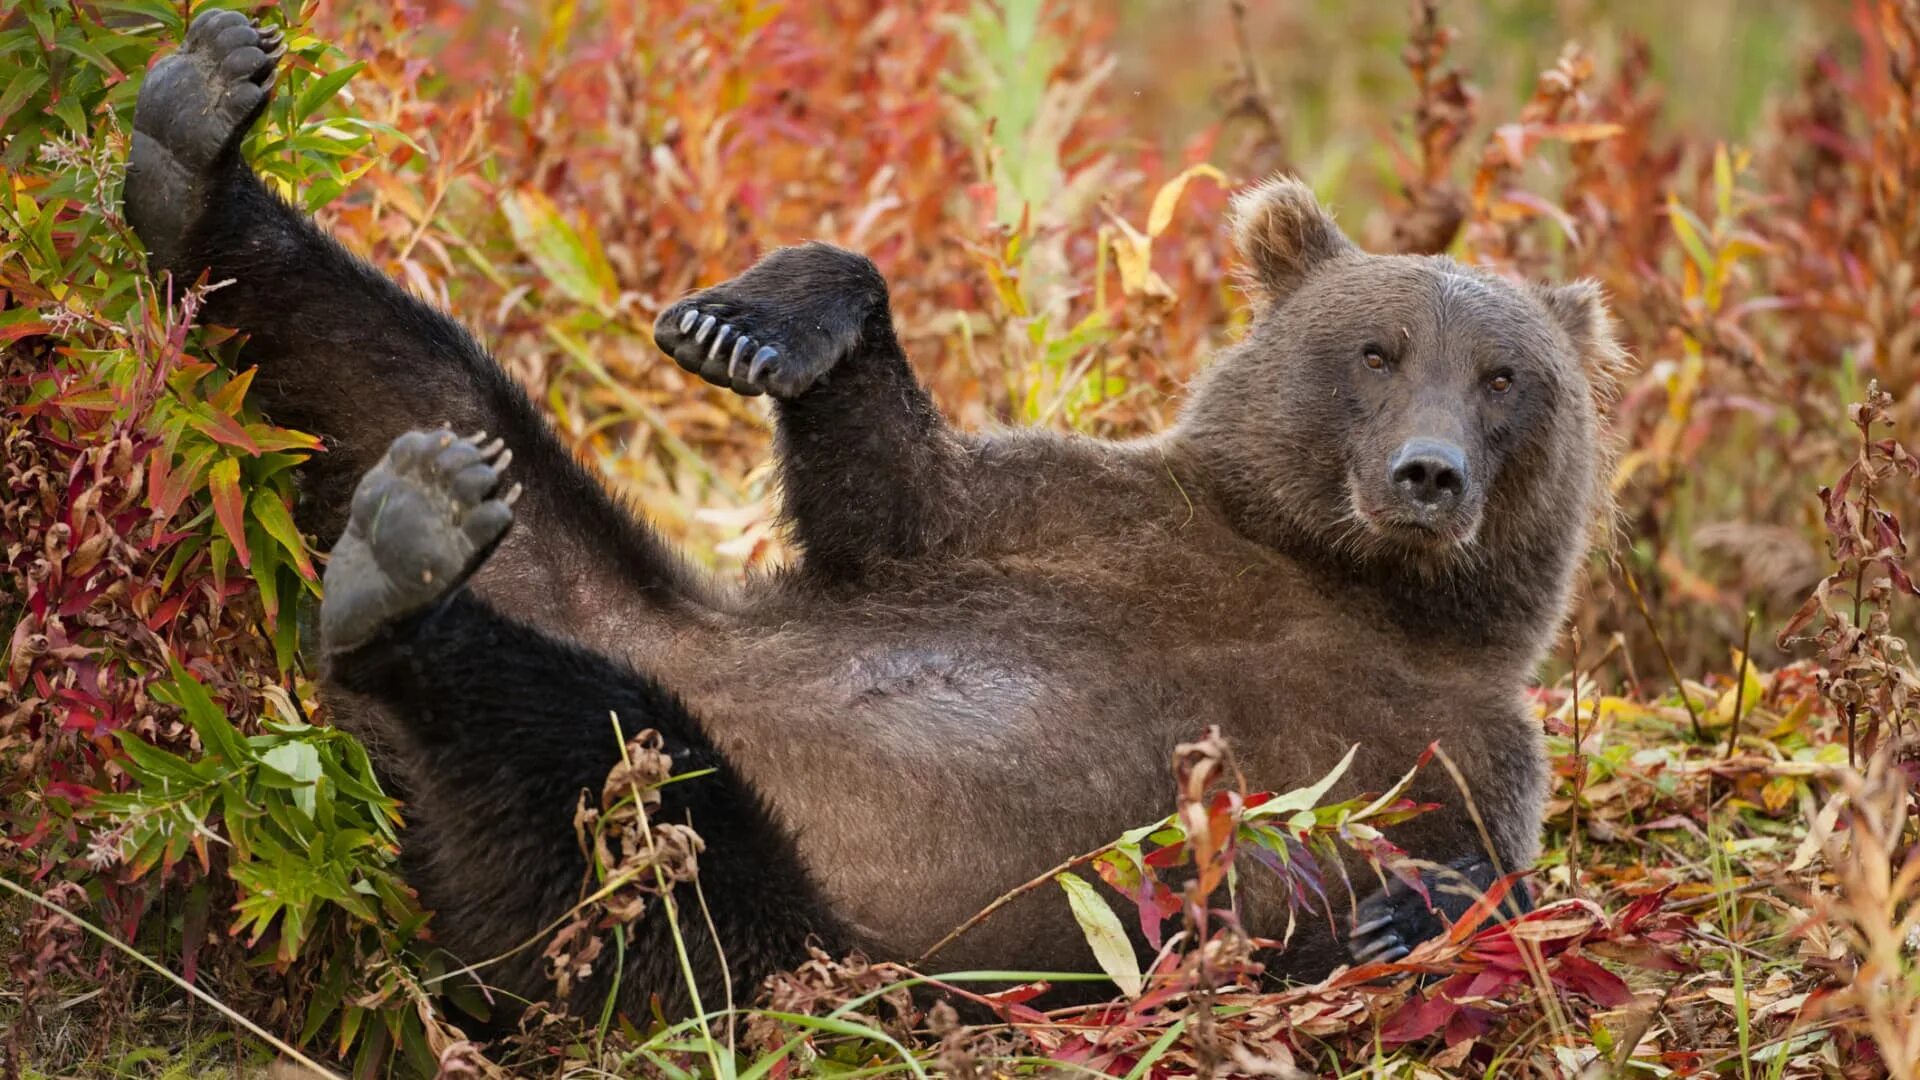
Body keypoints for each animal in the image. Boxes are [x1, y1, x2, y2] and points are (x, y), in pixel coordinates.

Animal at [123, 10, 1620, 1014]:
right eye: (1376, 351)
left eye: (1504, 378)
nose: (1427, 473)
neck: (1331, 577)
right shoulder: (1094, 520)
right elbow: (895, 492)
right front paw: (756, 321)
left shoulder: (1451, 740)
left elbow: (1471, 871)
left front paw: (1402, 915)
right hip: (592, 584)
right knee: (392, 376)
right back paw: (196, 141)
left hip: (765, 912)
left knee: (582, 766)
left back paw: (400, 568)